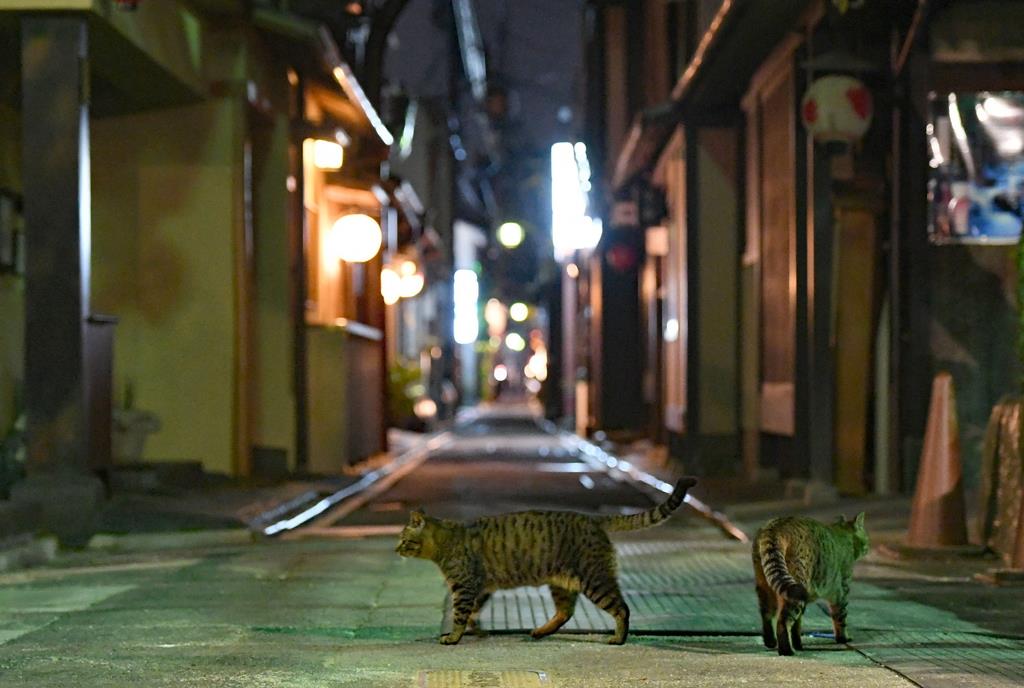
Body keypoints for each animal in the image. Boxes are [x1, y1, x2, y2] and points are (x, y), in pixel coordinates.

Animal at [391, 479, 696, 647]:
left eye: (404, 540)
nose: (395, 549)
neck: (447, 538)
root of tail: (594, 518)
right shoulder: (481, 587)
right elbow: (474, 612)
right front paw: (476, 630)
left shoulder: (465, 586)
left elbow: (459, 614)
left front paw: (454, 637)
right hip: (563, 582)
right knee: (566, 611)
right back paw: (540, 631)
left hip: (593, 578)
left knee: (621, 608)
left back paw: (618, 639)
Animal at [749, 516, 868, 655]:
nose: (868, 547)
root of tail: (775, 527)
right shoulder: (842, 591)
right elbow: (840, 616)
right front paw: (843, 638)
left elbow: (797, 625)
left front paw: (797, 643)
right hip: (797, 585)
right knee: (783, 620)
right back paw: (786, 650)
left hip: (767, 586)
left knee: (767, 614)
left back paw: (771, 641)